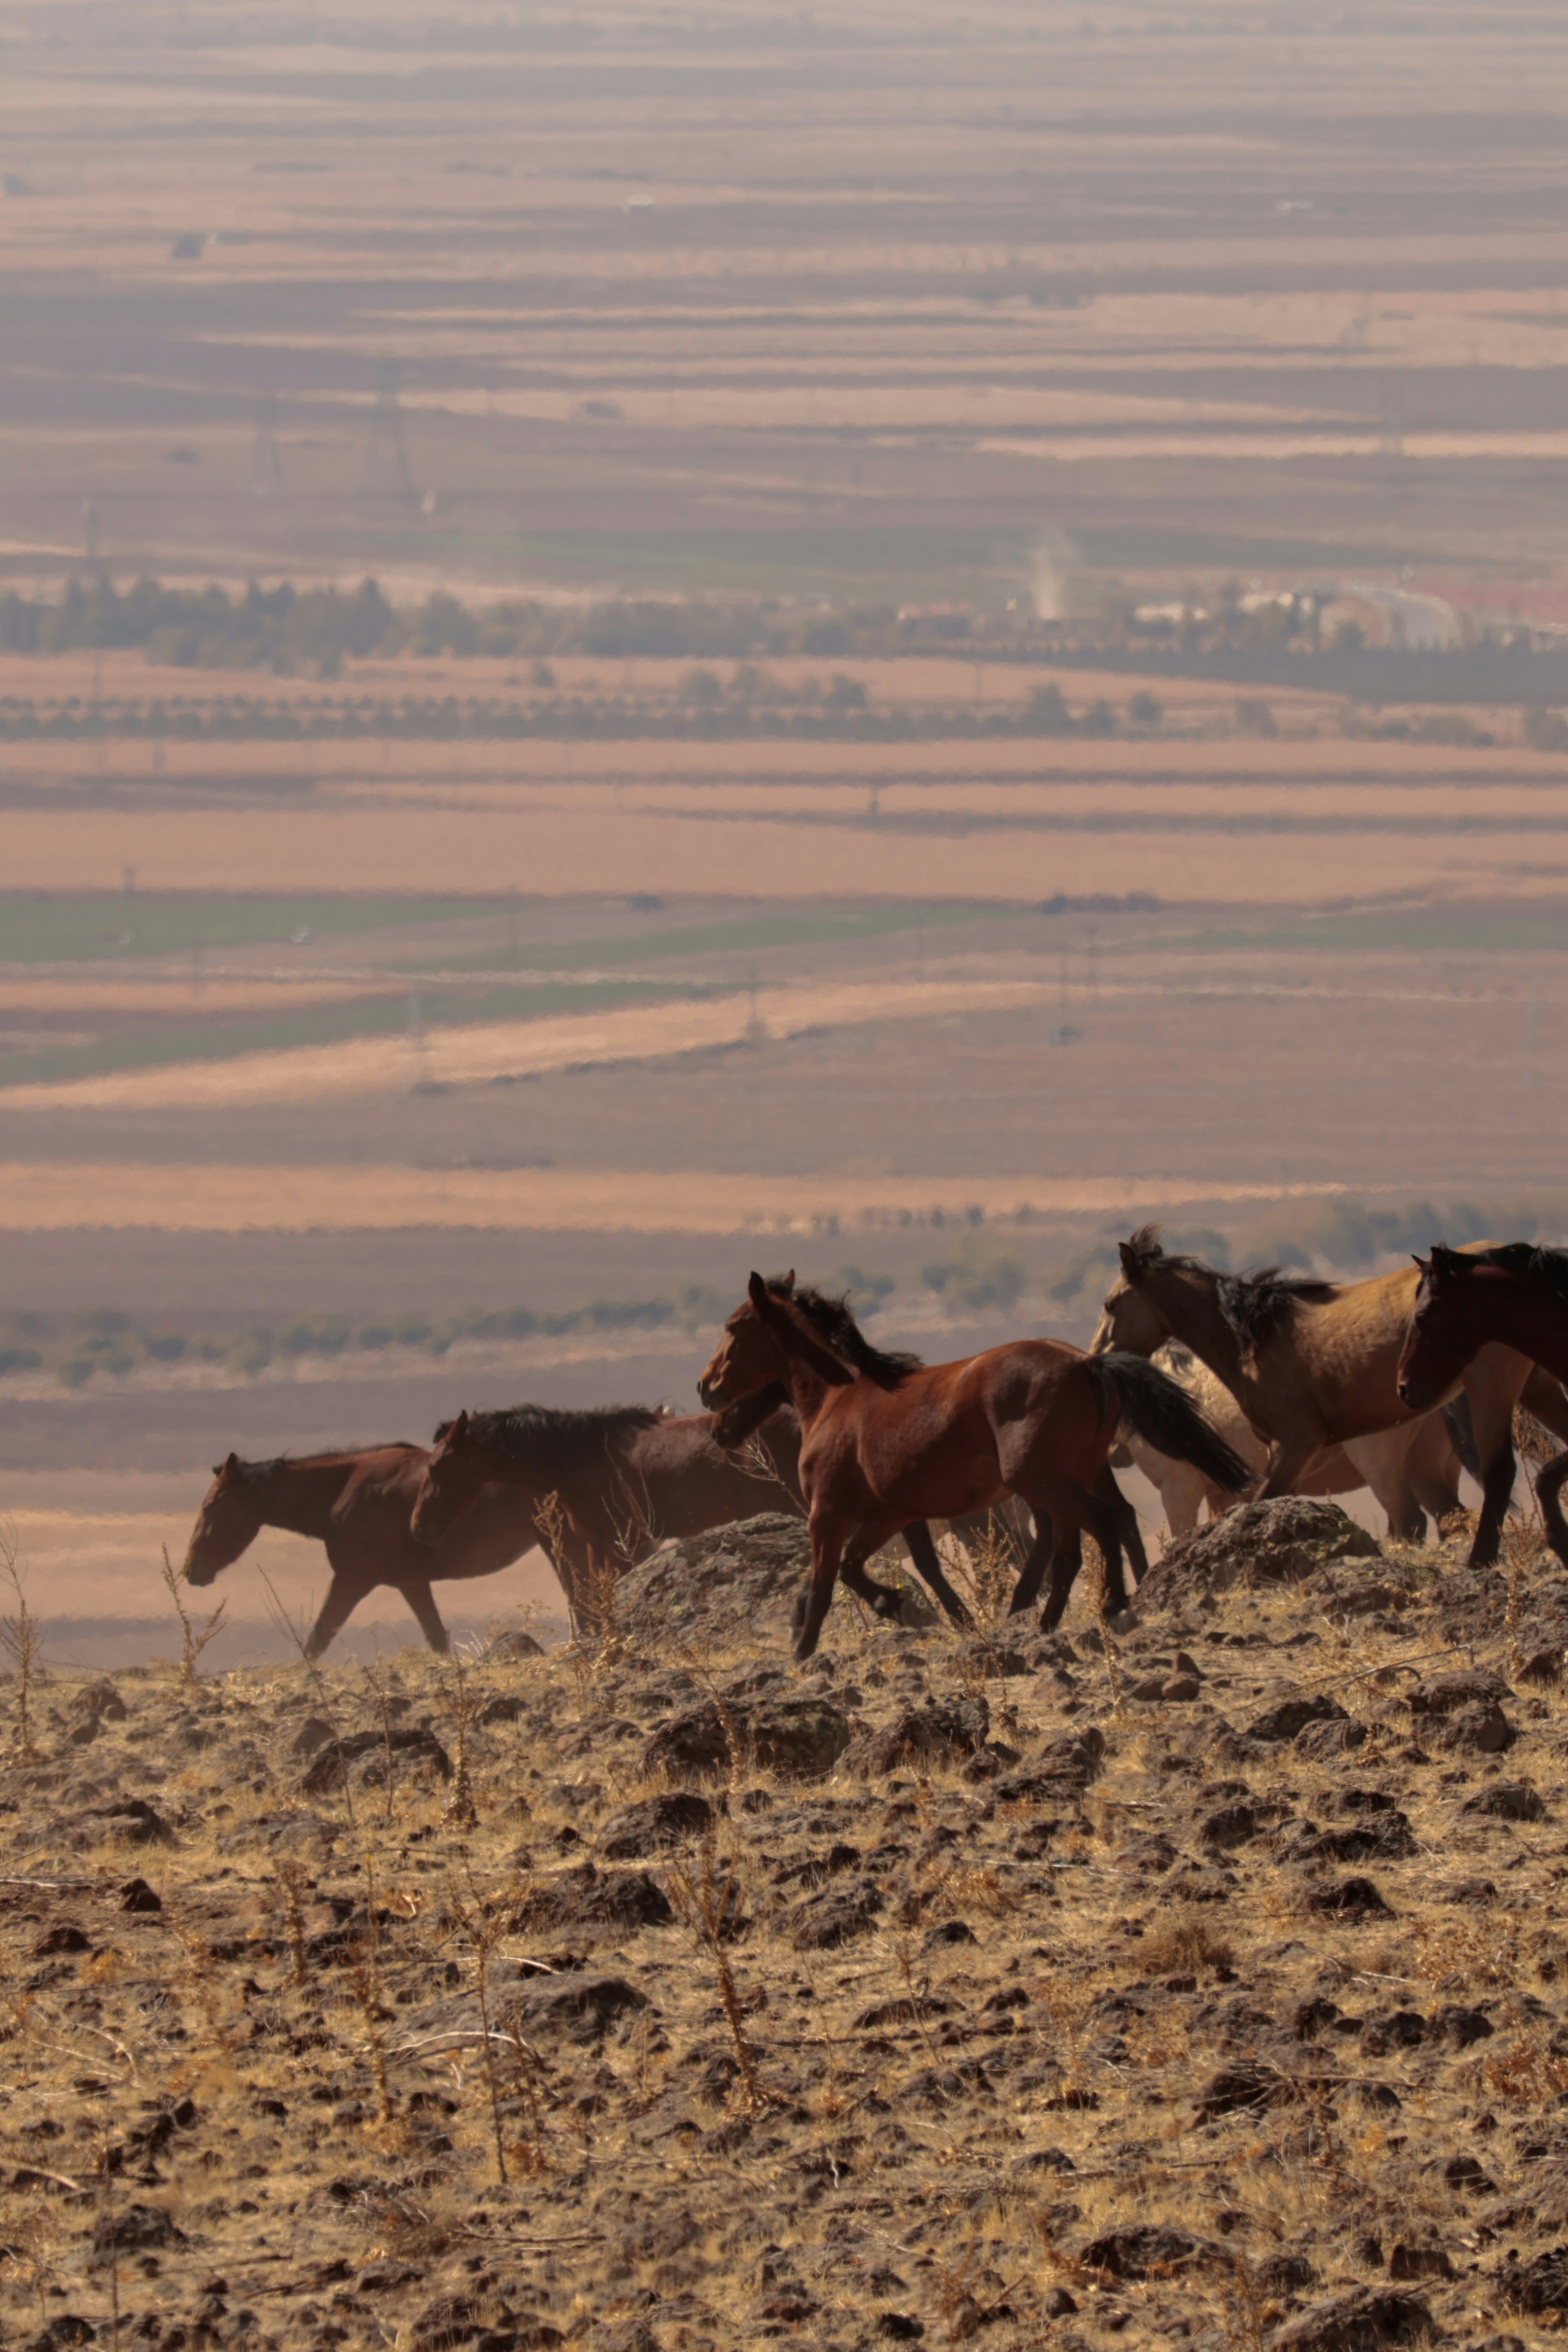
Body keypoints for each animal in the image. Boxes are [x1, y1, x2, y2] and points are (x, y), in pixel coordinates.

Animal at [183, 1446, 543, 1659]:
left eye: (212, 1506)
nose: (190, 1569)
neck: (343, 1493)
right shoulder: (412, 1583)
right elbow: (437, 1638)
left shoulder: (352, 1581)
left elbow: (318, 1639)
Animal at [408, 1390, 975, 1635]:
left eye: (438, 1467)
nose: (419, 1527)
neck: (580, 1459)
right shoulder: (601, 1551)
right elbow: (589, 1607)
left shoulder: (627, 1549)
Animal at [695, 1272, 1250, 1659]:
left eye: (733, 1327)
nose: (706, 1389)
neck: (838, 1399)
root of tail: (1089, 1363)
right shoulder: (889, 1514)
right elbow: (863, 1569)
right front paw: (901, 1606)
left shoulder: (827, 1515)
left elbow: (824, 1585)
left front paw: (805, 1652)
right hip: (1066, 1480)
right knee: (1073, 1548)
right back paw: (1044, 1625)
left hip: (1042, 1482)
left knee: (1102, 1524)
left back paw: (1112, 1609)